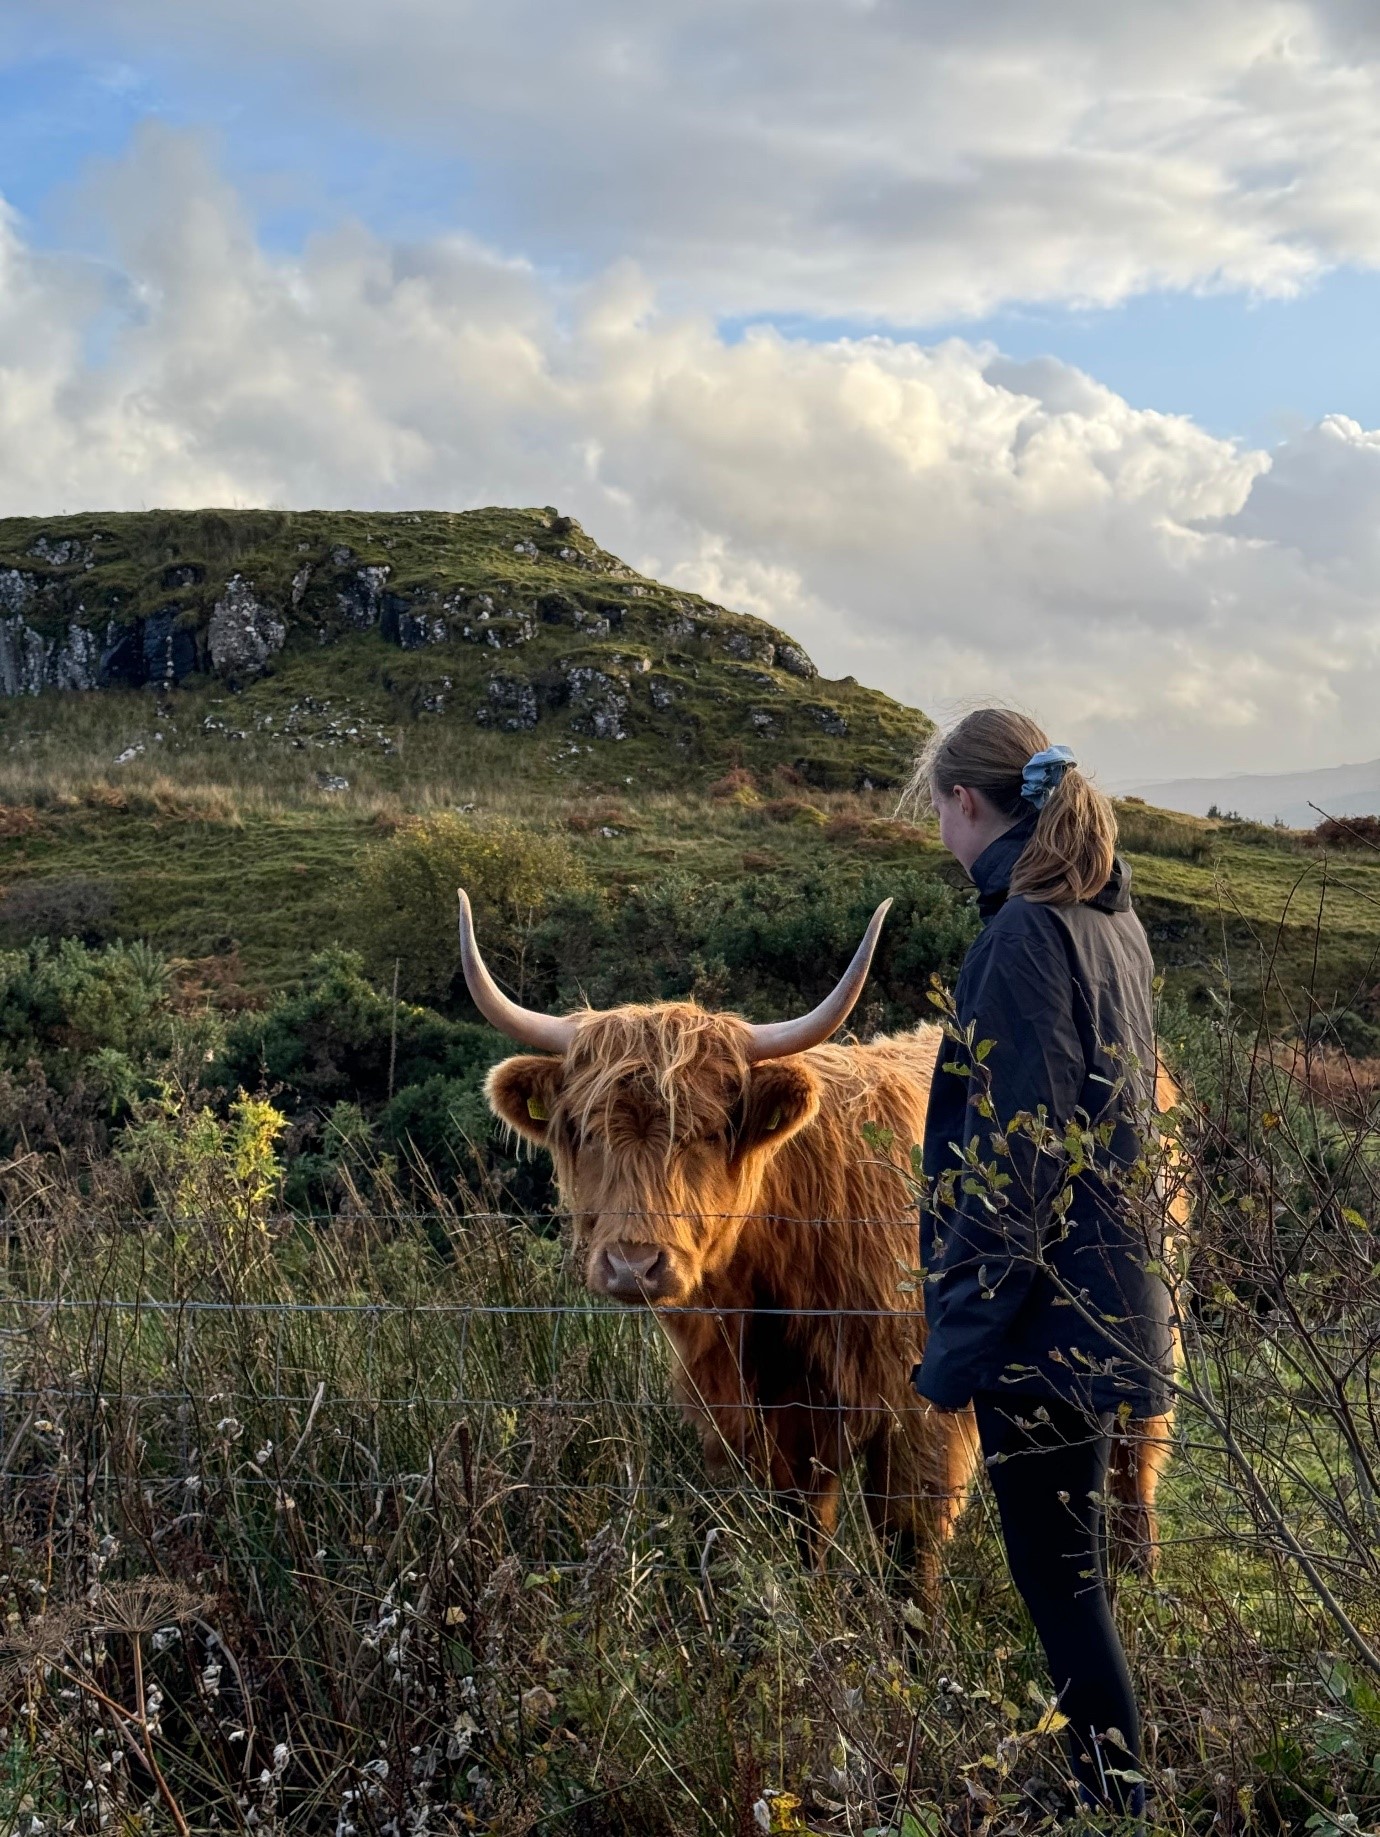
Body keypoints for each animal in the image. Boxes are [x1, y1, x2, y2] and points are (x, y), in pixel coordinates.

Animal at [459, 892, 1177, 1593]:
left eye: (709, 1131)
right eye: (585, 1130)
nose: (634, 1264)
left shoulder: (918, 1413)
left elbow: (908, 1547)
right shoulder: (768, 1415)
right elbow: (801, 1528)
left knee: (1134, 1452)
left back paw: (1139, 1577)